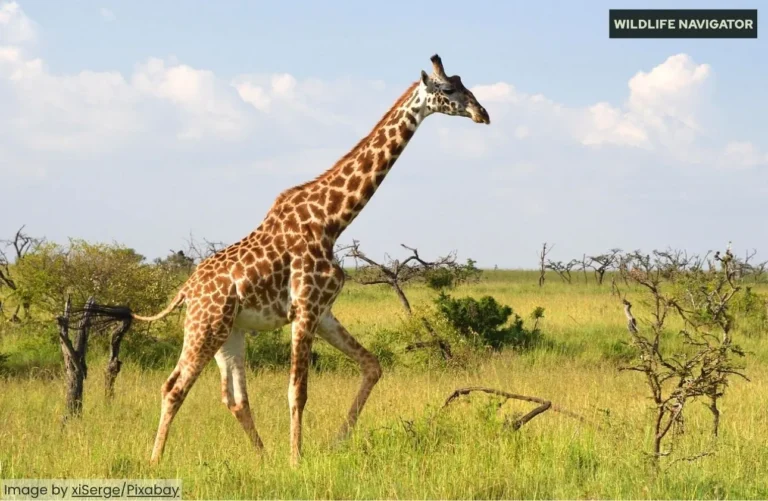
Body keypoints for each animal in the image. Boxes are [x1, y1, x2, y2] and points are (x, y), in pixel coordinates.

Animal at [96, 54, 490, 466]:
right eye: (448, 89)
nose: (483, 113)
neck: (332, 221)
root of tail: (186, 289)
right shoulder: (304, 308)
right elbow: (297, 391)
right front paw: (296, 460)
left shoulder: (323, 310)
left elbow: (372, 365)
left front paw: (336, 441)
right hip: (205, 326)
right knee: (174, 386)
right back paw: (155, 459)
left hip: (230, 333)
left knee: (234, 398)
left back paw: (262, 456)